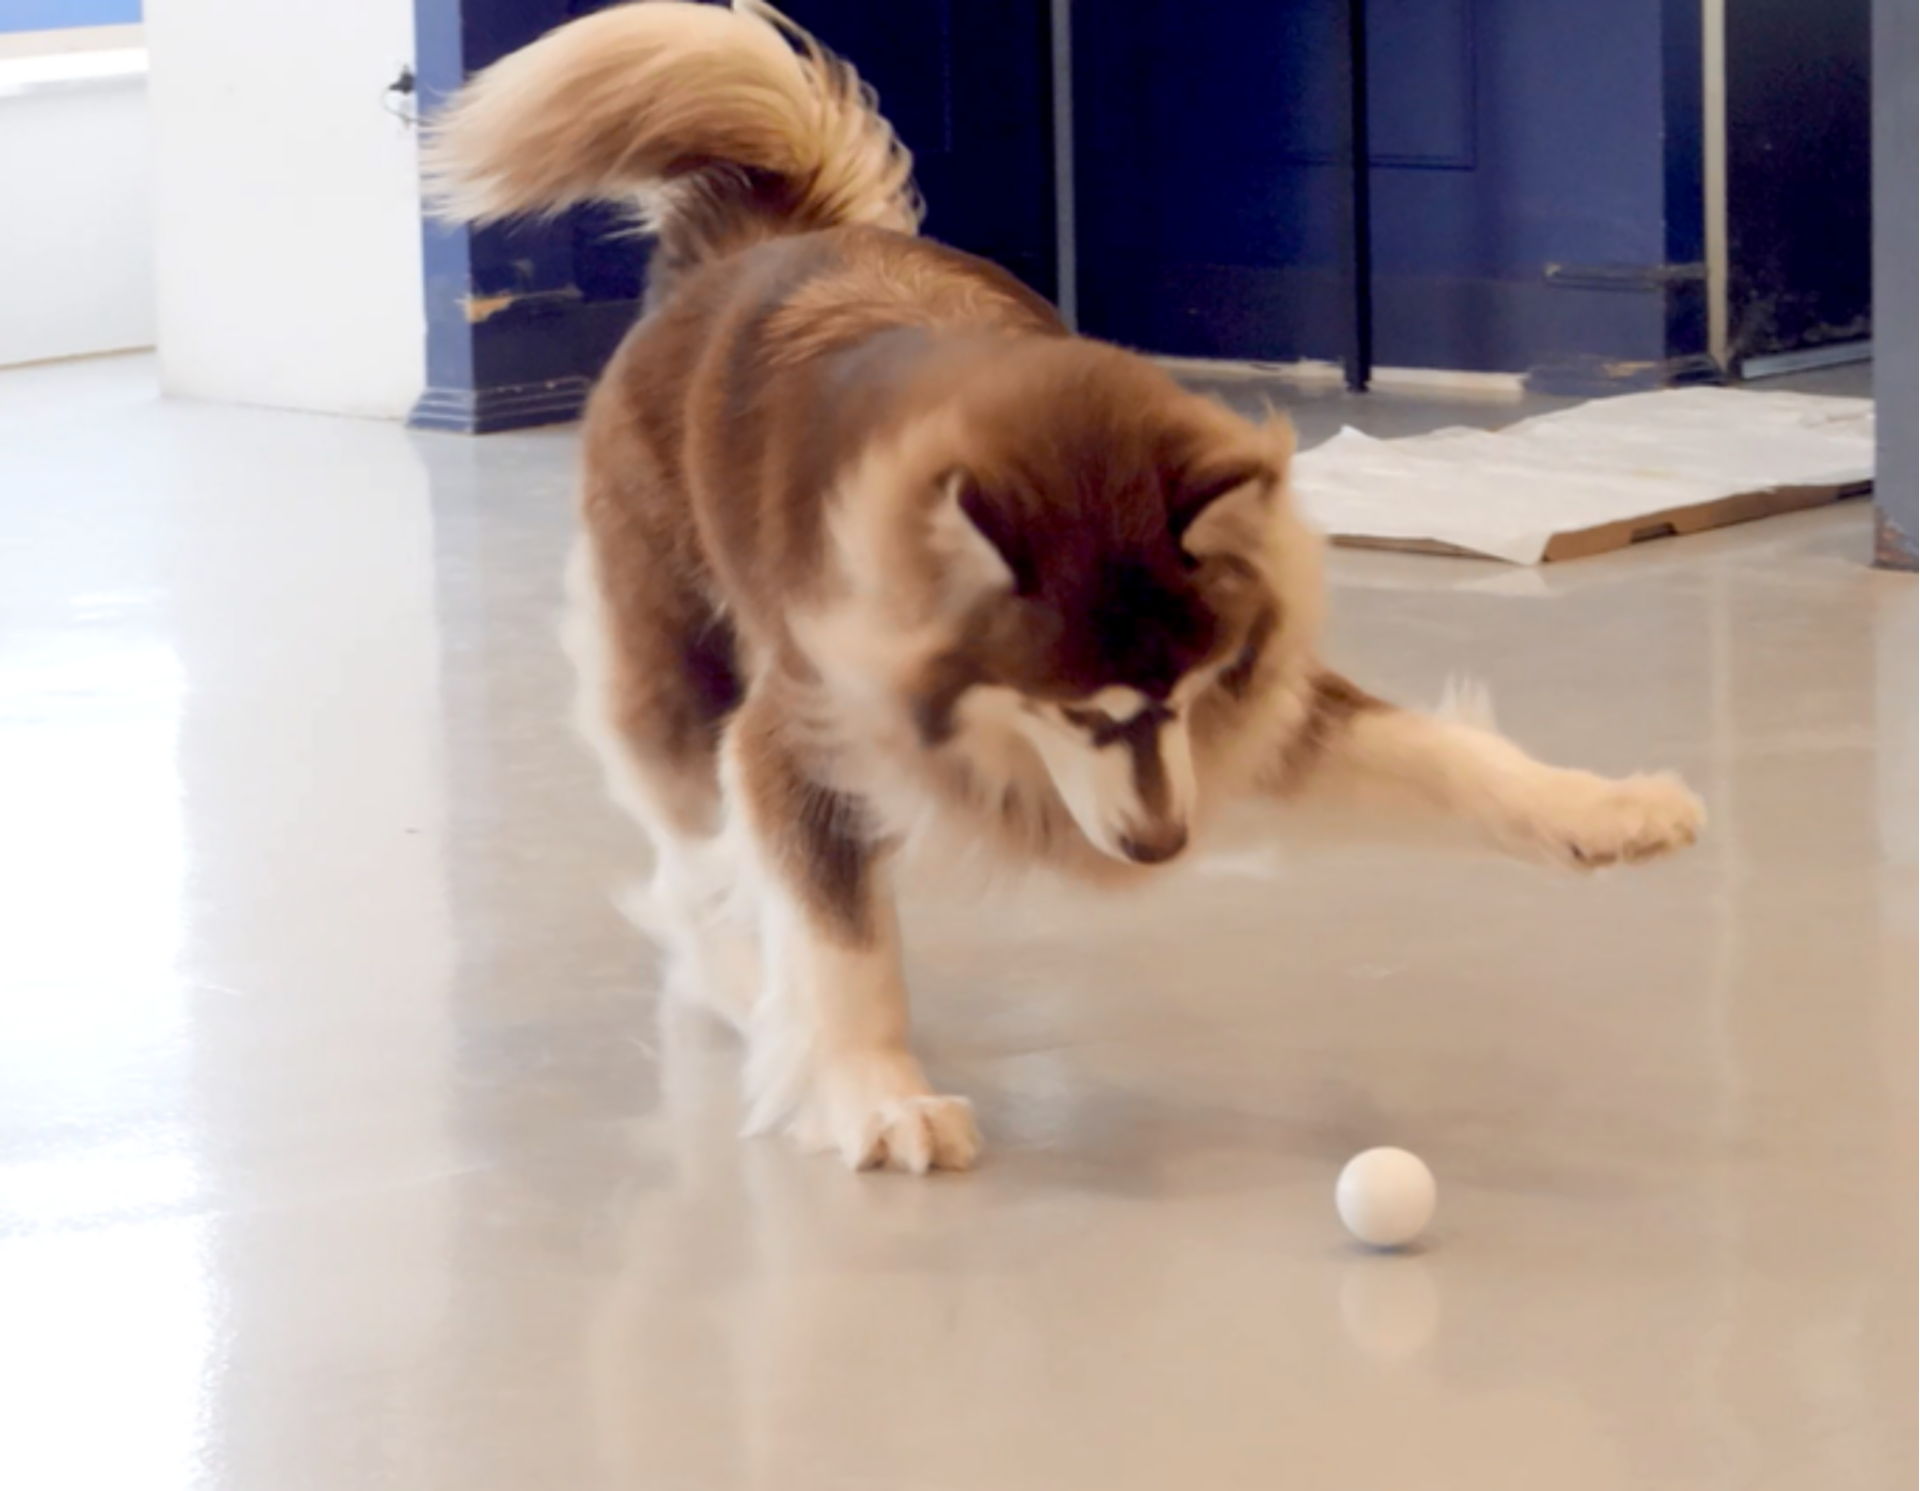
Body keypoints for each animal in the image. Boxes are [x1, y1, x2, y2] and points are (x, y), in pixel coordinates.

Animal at [424, 2, 1712, 1174]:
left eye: (1186, 693)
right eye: (1073, 711)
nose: (1160, 846)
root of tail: (746, 249)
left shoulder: (1248, 708)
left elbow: (1442, 751)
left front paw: (1604, 810)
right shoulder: (803, 735)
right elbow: (842, 940)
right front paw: (875, 1090)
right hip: (680, 665)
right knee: (693, 859)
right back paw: (744, 982)